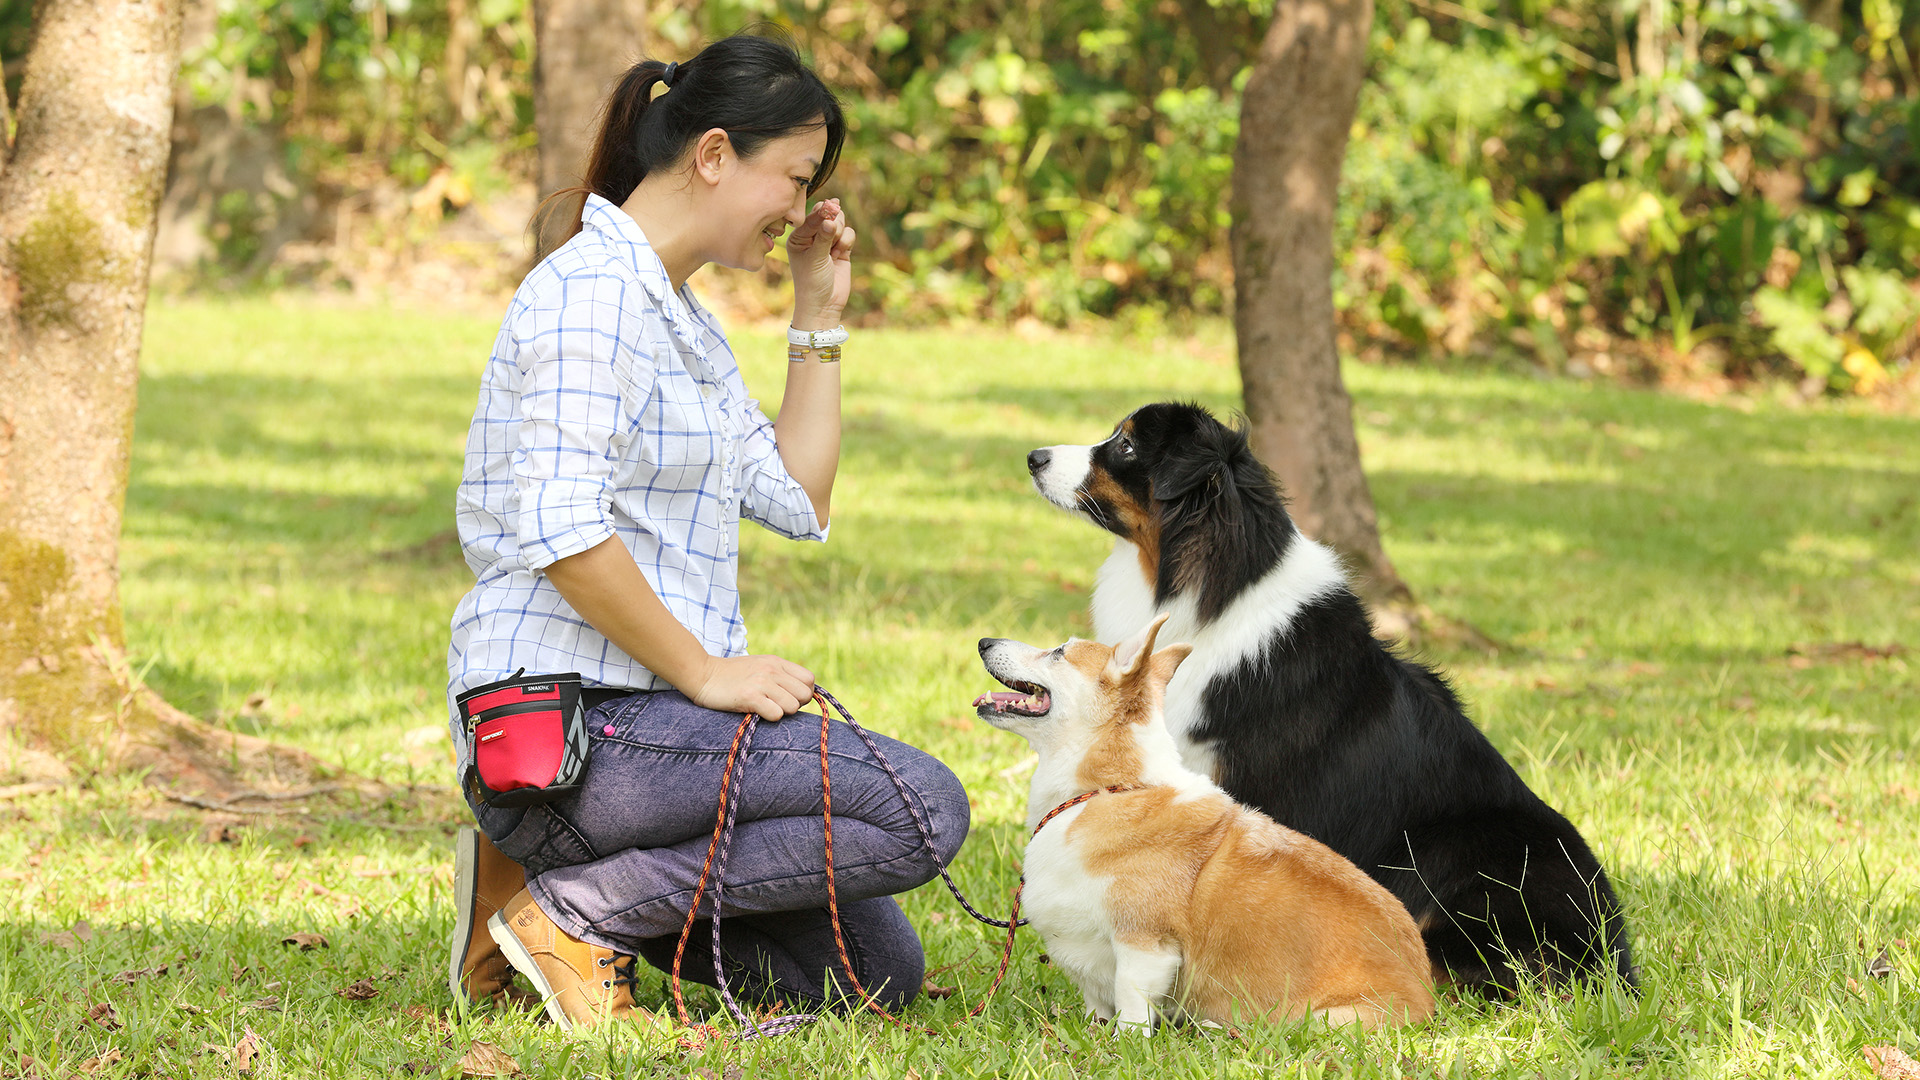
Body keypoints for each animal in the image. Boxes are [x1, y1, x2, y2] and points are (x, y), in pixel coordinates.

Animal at [975, 614, 1443, 1022]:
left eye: (1059, 652)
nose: (983, 641)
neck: (1108, 790)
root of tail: (1428, 999)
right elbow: (1097, 1005)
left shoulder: (1145, 947)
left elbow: (1130, 1006)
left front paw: (1122, 1047)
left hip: (1324, 1020)